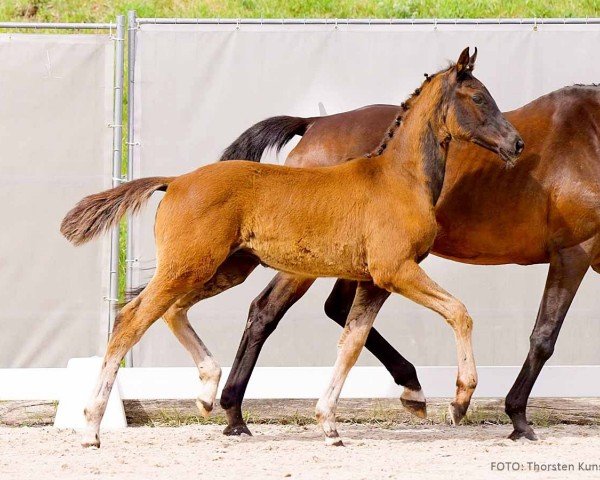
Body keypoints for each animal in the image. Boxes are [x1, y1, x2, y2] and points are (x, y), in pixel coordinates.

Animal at [59, 47, 520, 446]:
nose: (516, 143)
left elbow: (351, 344)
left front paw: (330, 423)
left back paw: (208, 392)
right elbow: (459, 312)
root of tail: (175, 181)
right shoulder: (396, 270)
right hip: (190, 266)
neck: (397, 180)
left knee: (173, 311)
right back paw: (92, 427)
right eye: (479, 98)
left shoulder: (374, 282)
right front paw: (459, 400)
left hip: (225, 268)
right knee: (131, 320)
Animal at [218, 85, 600, 438]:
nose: (516, 146)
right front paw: (518, 419)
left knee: (335, 310)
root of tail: (315, 124)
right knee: (266, 311)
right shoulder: (572, 253)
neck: (589, 137)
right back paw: (235, 414)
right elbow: (544, 336)